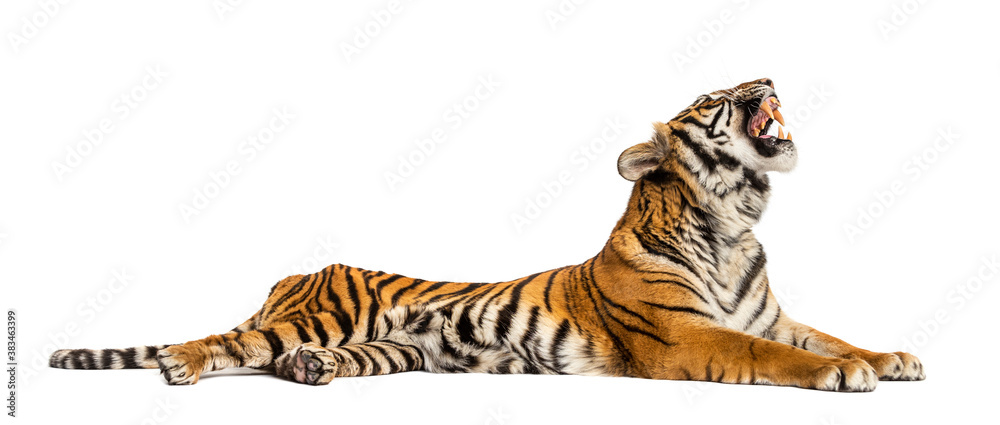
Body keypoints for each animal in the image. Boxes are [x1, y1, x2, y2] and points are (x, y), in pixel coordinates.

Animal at [50, 78, 924, 391]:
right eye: (715, 98)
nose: (766, 78)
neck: (734, 222)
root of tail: (295, 274)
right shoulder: (686, 336)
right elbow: (773, 356)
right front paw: (844, 375)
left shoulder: (773, 314)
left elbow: (829, 333)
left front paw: (890, 357)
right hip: (314, 314)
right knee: (230, 342)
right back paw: (182, 362)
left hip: (393, 348)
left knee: (289, 356)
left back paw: (311, 372)